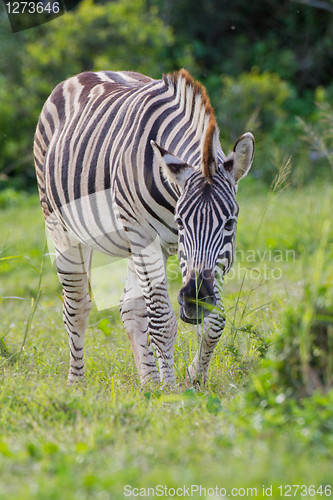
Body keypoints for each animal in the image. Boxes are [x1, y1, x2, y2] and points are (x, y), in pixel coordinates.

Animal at [33, 67, 253, 386]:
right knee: (76, 307)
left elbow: (215, 321)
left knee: (130, 308)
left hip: (133, 245)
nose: (194, 300)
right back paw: (77, 384)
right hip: (62, 228)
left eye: (229, 223)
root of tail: (89, 72)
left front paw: (192, 379)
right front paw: (172, 390)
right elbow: (161, 320)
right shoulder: (144, 236)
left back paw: (148, 383)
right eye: (181, 222)